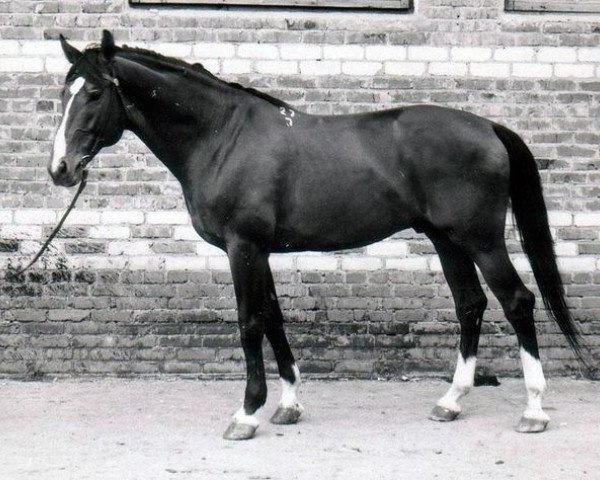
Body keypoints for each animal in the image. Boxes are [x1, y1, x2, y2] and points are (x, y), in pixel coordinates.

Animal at [48, 30, 592, 440]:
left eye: (94, 93)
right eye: (63, 93)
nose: (61, 169)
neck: (221, 137)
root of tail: (489, 127)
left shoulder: (243, 247)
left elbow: (250, 323)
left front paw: (246, 414)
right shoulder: (259, 251)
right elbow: (273, 318)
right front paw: (288, 405)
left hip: (480, 239)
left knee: (517, 301)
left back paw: (533, 410)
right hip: (445, 239)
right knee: (471, 305)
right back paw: (451, 402)